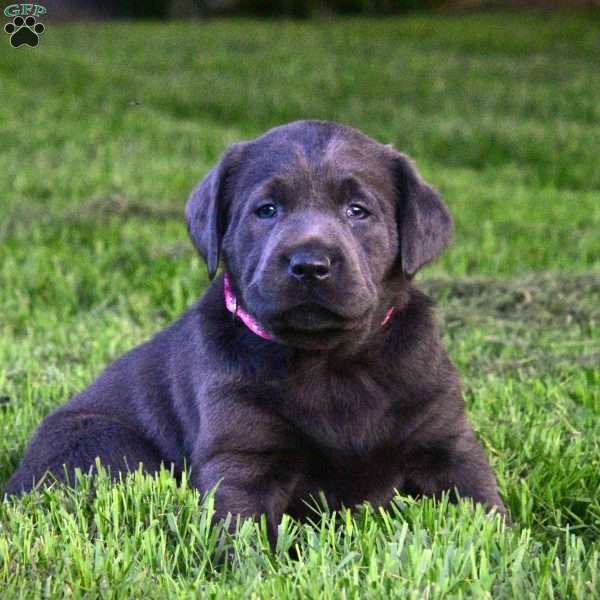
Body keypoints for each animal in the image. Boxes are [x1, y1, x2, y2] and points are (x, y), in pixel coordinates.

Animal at [5, 119, 506, 536]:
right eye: (266, 210)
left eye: (357, 211)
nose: (310, 265)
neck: (331, 362)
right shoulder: (241, 456)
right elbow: (242, 529)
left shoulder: (447, 440)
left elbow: (483, 505)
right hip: (99, 442)